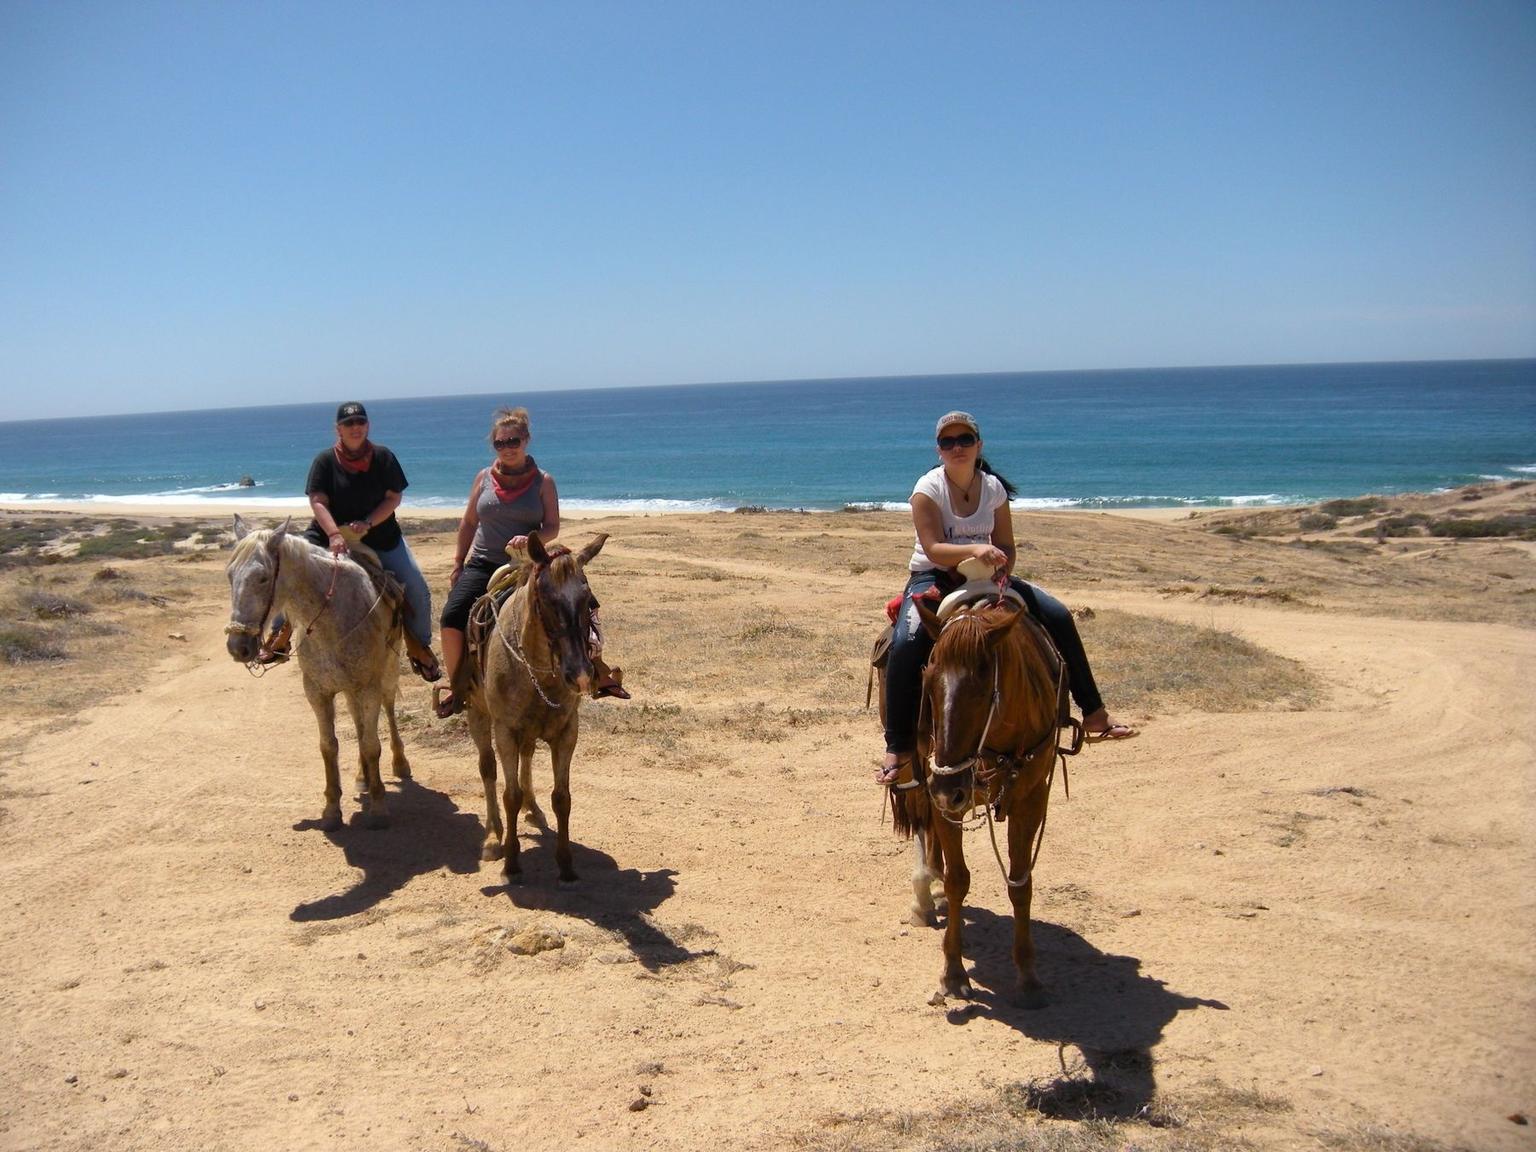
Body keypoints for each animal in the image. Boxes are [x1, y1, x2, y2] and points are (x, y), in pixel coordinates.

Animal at [224, 516, 411, 829]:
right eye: (230, 576)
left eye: (262, 578)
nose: (238, 647)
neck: (331, 621)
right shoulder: (317, 692)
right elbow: (329, 746)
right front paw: (332, 809)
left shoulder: (368, 687)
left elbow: (372, 744)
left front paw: (378, 807)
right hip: (349, 690)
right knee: (359, 723)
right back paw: (362, 776)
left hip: (387, 674)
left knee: (388, 709)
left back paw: (400, 764)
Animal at [460, 531, 605, 884]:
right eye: (546, 599)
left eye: (588, 599)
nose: (581, 675)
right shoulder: (505, 732)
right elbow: (508, 795)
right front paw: (512, 861)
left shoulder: (566, 733)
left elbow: (562, 798)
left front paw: (565, 863)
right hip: (477, 714)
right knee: (487, 768)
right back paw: (492, 837)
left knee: (526, 760)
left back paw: (534, 810)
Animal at [890, 599, 1069, 1007]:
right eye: (928, 682)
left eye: (985, 687)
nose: (947, 784)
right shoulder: (944, 796)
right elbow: (959, 879)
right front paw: (954, 974)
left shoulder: (1031, 799)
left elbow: (1020, 882)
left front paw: (1028, 975)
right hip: (919, 773)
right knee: (923, 825)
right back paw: (924, 898)